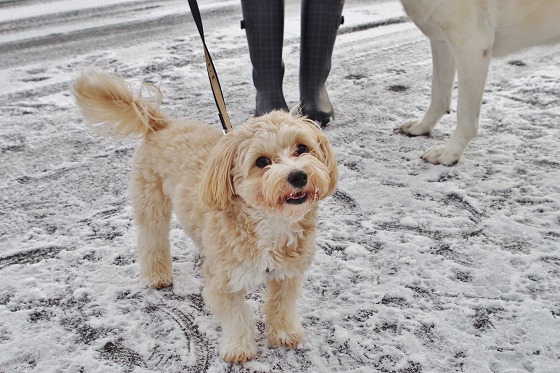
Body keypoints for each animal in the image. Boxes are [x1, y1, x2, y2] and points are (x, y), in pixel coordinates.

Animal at [72, 70, 340, 360]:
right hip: (151, 205)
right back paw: (157, 275)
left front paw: (284, 333)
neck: (270, 222)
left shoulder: (288, 274)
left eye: (302, 148)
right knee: (152, 239)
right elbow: (237, 316)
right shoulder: (223, 283)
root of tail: (161, 124)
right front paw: (239, 348)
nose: (298, 175)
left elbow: (282, 304)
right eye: (261, 162)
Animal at [398, 0, 560, 164]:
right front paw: (423, 126)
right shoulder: (440, 41)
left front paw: (450, 152)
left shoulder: (472, 47)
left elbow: (464, 115)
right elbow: (438, 92)